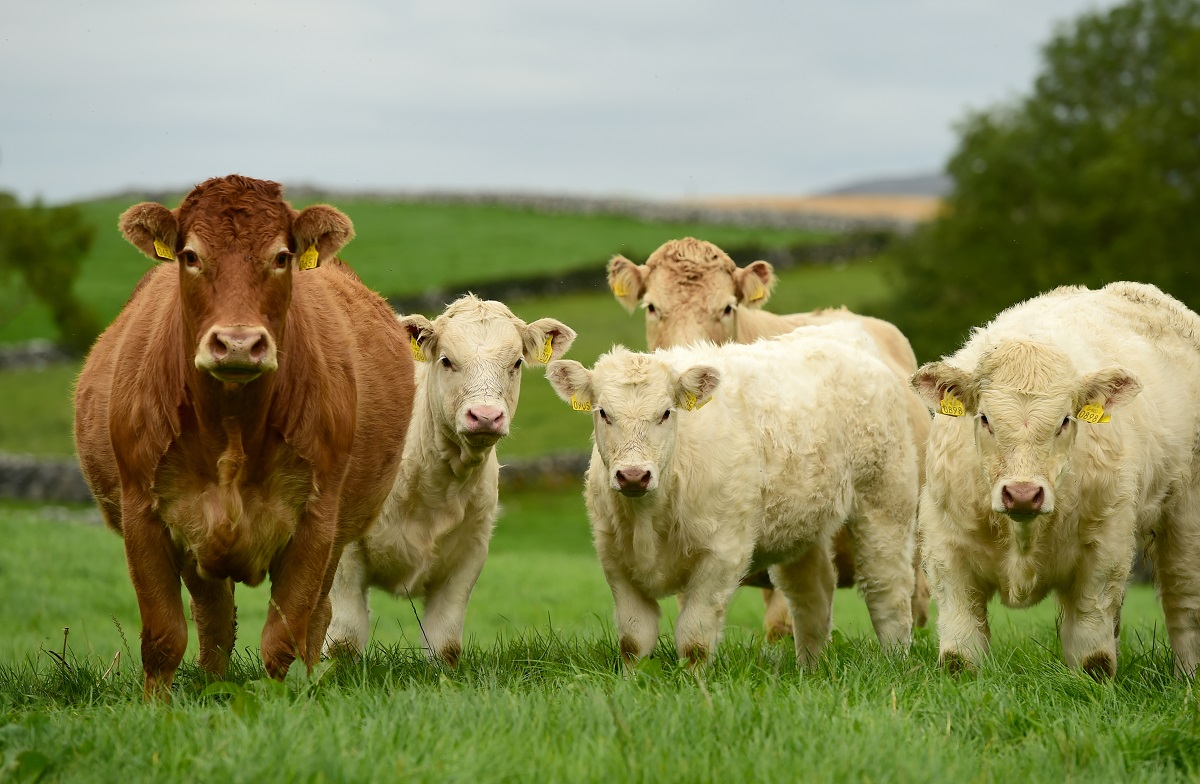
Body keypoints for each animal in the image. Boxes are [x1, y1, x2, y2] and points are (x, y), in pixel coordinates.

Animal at [75, 177, 415, 696]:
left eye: (281, 256)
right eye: (190, 255)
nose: (237, 344)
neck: (232, 426)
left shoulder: (316, 523)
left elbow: (283, 636)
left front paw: (279, 700)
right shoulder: (143, 515)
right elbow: (163, 636)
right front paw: (157, 706)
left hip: (337, 537)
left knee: (315, 617)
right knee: (214, 619)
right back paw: (211, 684)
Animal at [324, 296, 576, 662]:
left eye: (515, 362)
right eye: (447, 360)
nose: (485, 416)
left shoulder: (469, 554)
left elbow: (444, 644)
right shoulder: (342, 552)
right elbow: (343, 641)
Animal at [547, 324, 916, 667]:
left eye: (666, 412)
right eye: (602, 412)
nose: (634, 475)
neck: (648, 519)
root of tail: (845, 333)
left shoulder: (722, 554)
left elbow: (694, 640)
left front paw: (696, 686)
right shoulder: (614, 558)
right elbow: (633, 641)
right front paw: (632, 684)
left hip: (885, 503)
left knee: (888, 591)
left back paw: (895, 663)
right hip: (803, 525)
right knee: (813, 593)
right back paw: (810, 668)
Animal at [907, 283, 1200, 677]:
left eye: (1064, 420)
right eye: (984, 418)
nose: (1022, 494)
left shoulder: (1104, 552)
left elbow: (1093, 657)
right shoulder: (946, 551)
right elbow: (960, 656)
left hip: (1187, 518)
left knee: (1185, 600)